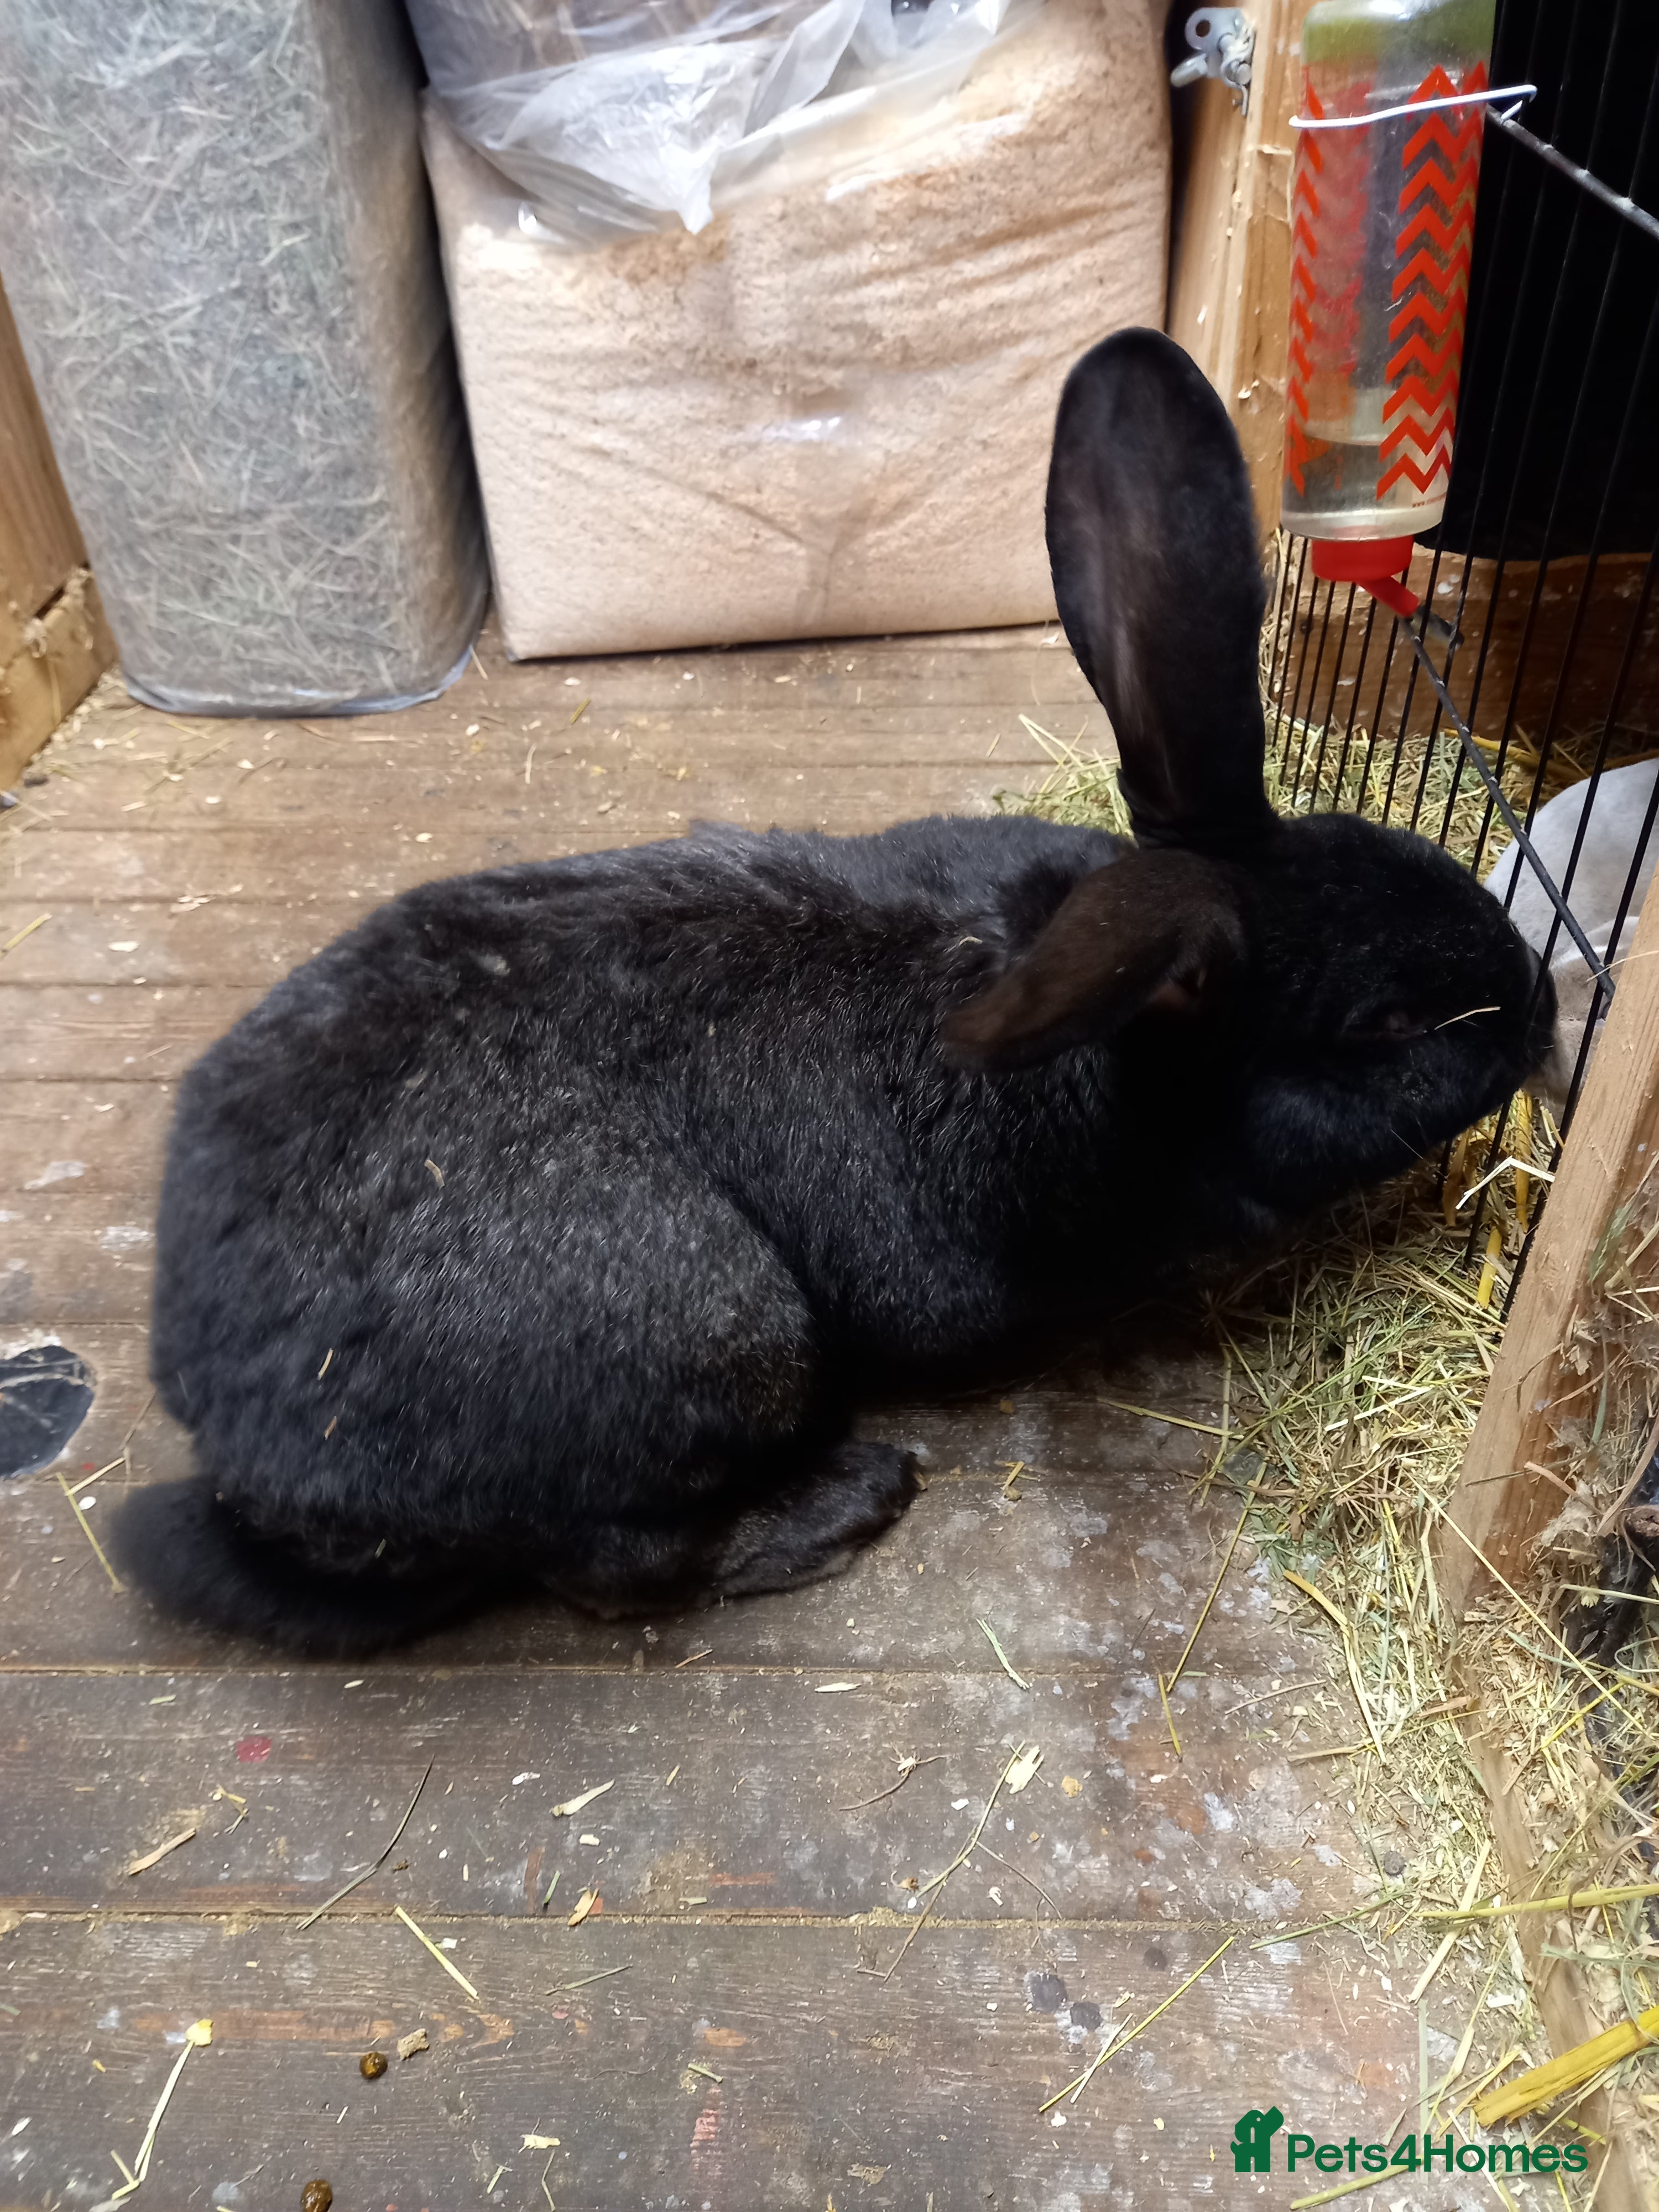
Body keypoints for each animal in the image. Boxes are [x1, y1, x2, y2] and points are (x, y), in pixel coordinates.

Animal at [111, 329, 1554, 1656]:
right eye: (1388, 1025)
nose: (1540, 1001)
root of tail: (228, 1430)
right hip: (730, 1331)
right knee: (621, 1567)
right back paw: (848, 1500)